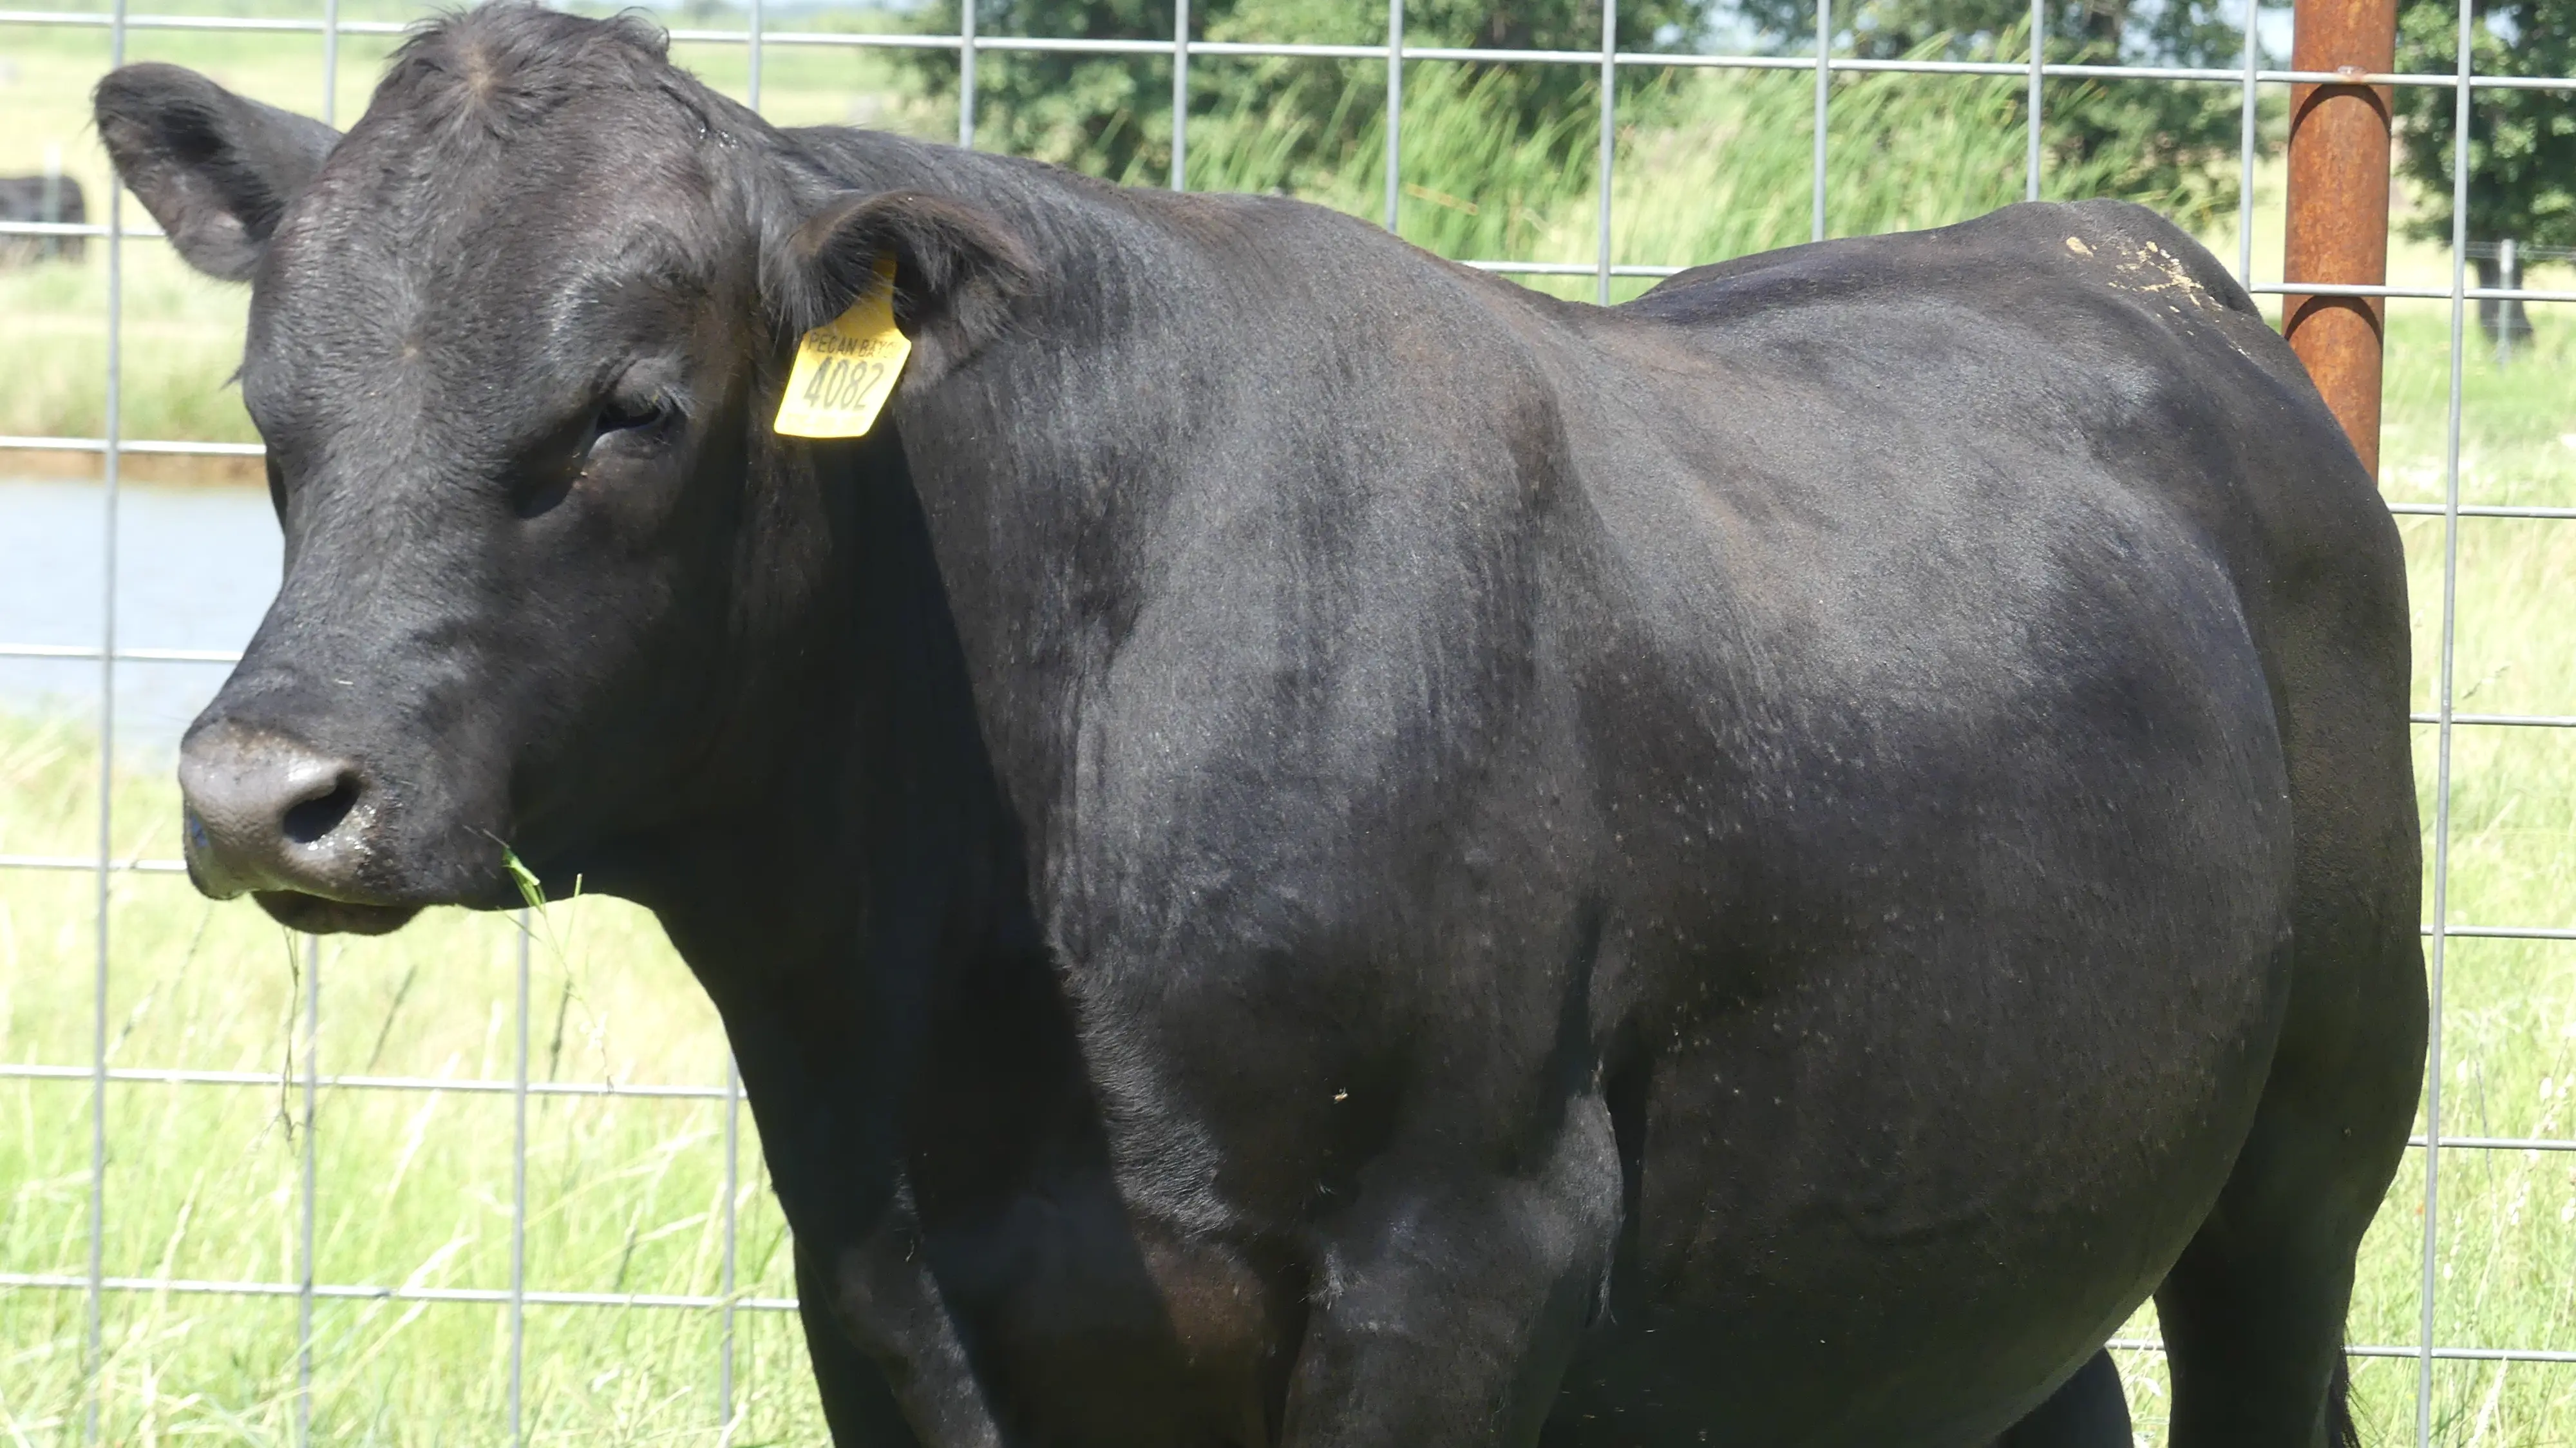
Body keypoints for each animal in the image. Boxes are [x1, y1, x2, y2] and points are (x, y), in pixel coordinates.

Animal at [97, 7, 2425, 1444]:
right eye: (269, 403)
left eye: (631, 410)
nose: (263, 789)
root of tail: (2130, 261)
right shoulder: (885, 1287)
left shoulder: (1465, 1254)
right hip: (1949, 1235)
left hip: (2310, 1160)